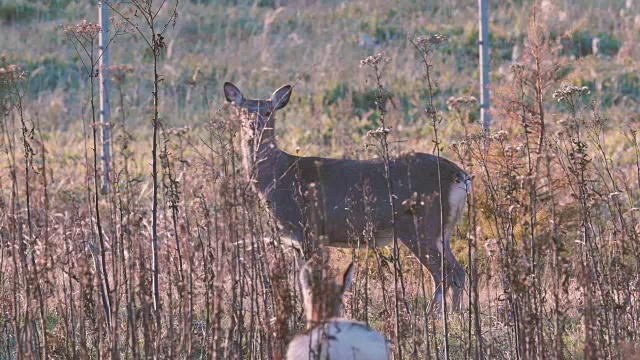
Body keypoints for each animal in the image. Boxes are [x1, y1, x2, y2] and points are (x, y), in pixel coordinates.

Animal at [224, 81, 470, 312]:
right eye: (243, 111)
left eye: (268, 112)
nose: (253, 124)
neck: (279, 178)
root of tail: (459, 175)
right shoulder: (296, 241)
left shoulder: (308, 230)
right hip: (441, 231)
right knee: (459, 272)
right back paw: (456, 316)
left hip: (420, 224)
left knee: (443, 274)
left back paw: (433, 317)